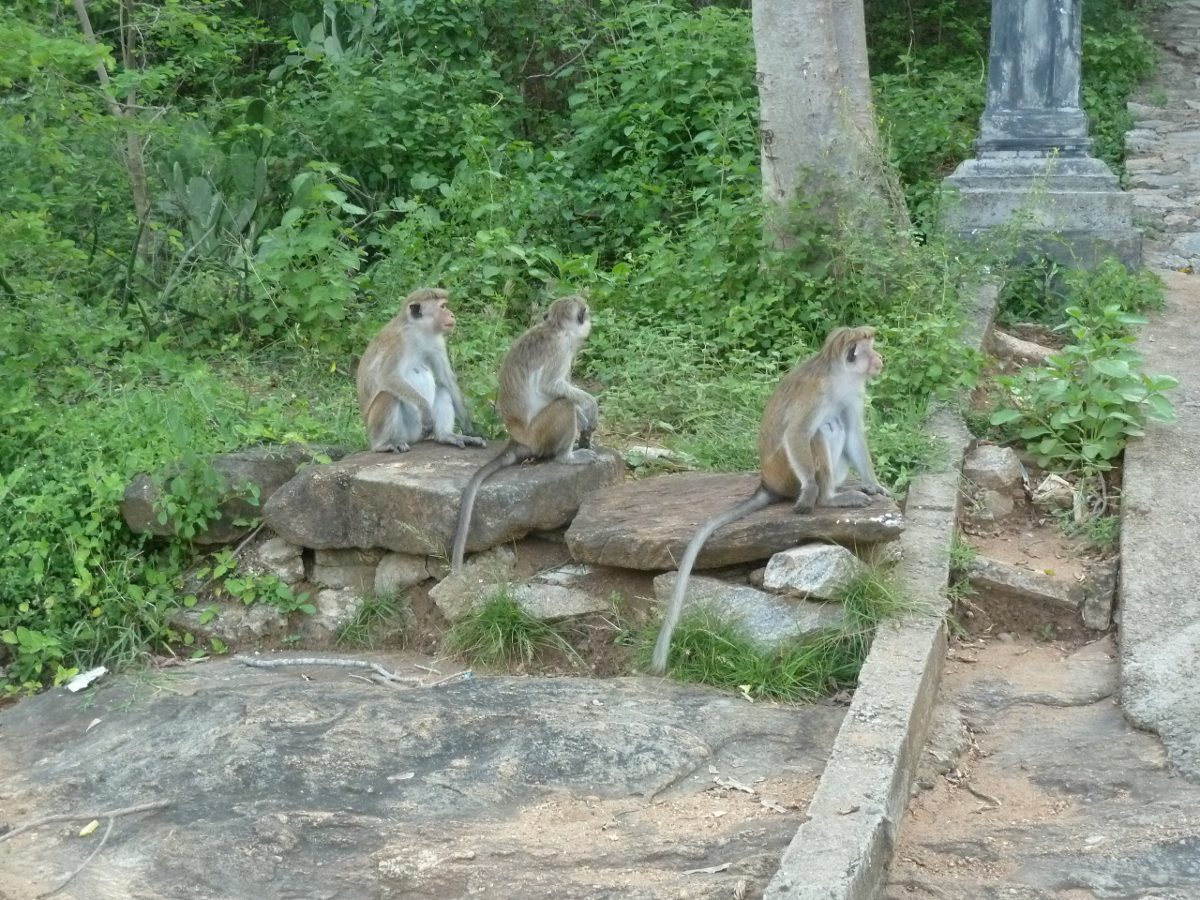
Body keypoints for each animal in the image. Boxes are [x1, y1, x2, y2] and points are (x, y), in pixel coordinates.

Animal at [356, 288, 486, 454]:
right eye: (442, 307)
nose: (452, 315)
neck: (418, 330)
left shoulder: (436, 341)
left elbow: (446, 380)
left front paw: (468, 428)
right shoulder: (399, 342)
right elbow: (386, 377)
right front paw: (424, 408)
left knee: (443, 389)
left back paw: (445, 436)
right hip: (396, 431)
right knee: (388, 395)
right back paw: (382, 444)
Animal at [451, 296, 599, 570]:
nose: (590, 321)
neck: (556, 327)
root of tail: (517, 439)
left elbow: (561, 388)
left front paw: (585, 421)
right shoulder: (560, 349)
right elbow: (553, 386)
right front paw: (590, 406)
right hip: (540, 433)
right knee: (563, 404)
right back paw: (567, 457)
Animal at [650, 326, 888, 675]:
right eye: (869, 350)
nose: (881, 358)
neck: (839, 375)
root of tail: (768, 482)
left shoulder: (850, 393)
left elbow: (855, 432)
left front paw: (874, 484)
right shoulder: (816, 393)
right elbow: (797, 434)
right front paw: (812, 493)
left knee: (838, 426)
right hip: (787, 474)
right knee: (821, 430)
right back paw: (828, 497)